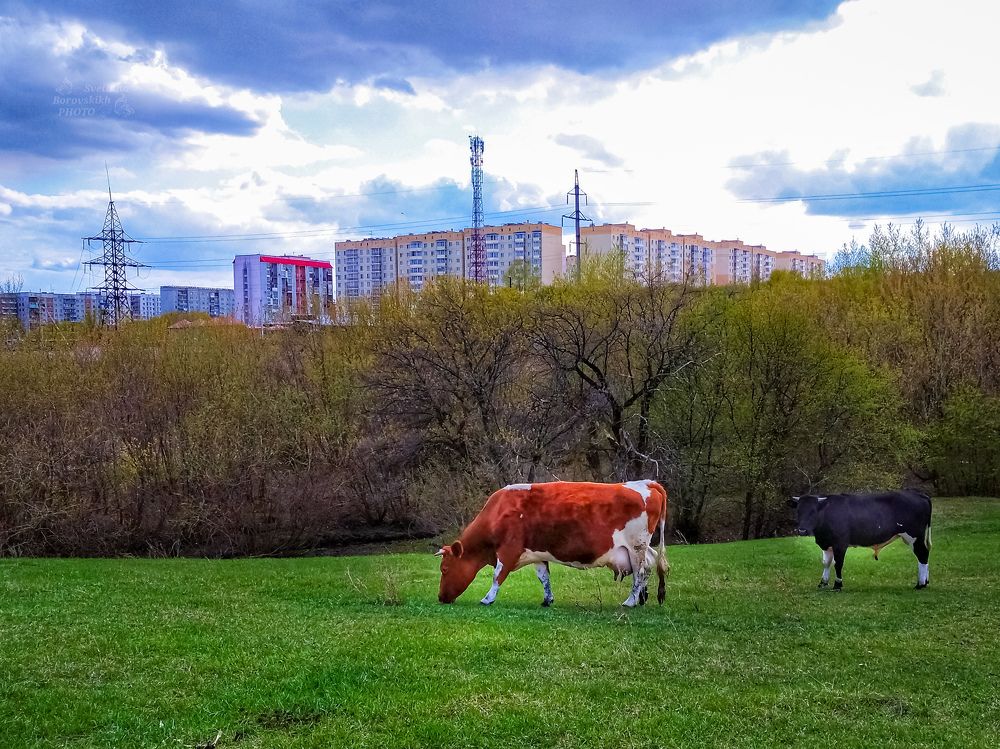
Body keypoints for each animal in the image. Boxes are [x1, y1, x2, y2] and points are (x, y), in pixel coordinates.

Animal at [436, 480, 670, 608]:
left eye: (445, 569)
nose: (441, 597)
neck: (499, 512)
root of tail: (646, 482)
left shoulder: (508, 550)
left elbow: (497, 576)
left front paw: (488, 598)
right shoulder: (537, 554)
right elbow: (544, 578)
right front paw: (547, 599)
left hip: (636, 546)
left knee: (640, 572)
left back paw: (630, 601)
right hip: (641, 547)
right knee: (650, 564)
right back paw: (641, 598)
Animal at [787, 490, 932, 591]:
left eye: (813, 511)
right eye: (798, 511)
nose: (802, 530)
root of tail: (919, 494)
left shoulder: (840, 544)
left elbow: (838, 564)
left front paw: (838, 584)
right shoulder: (826, 544)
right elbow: (826, 563)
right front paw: (823, 583)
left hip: (914, 536)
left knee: (922, 554)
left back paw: (920, 584)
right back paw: (925, 582)